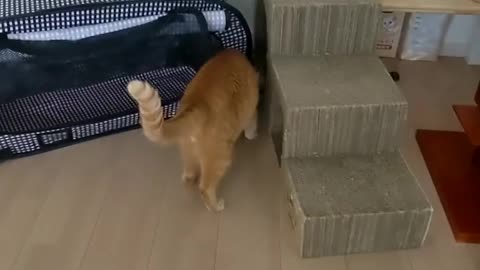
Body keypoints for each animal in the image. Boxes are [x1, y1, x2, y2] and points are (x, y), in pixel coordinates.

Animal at [127, 49, 258, 213]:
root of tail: (197, 104)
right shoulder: (251, 111)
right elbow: (251, 127)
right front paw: (252, 135)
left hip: (188, 152)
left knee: (188, 177)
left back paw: (190, 188)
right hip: (220, 158)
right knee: (205, 187)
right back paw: (216, 206)